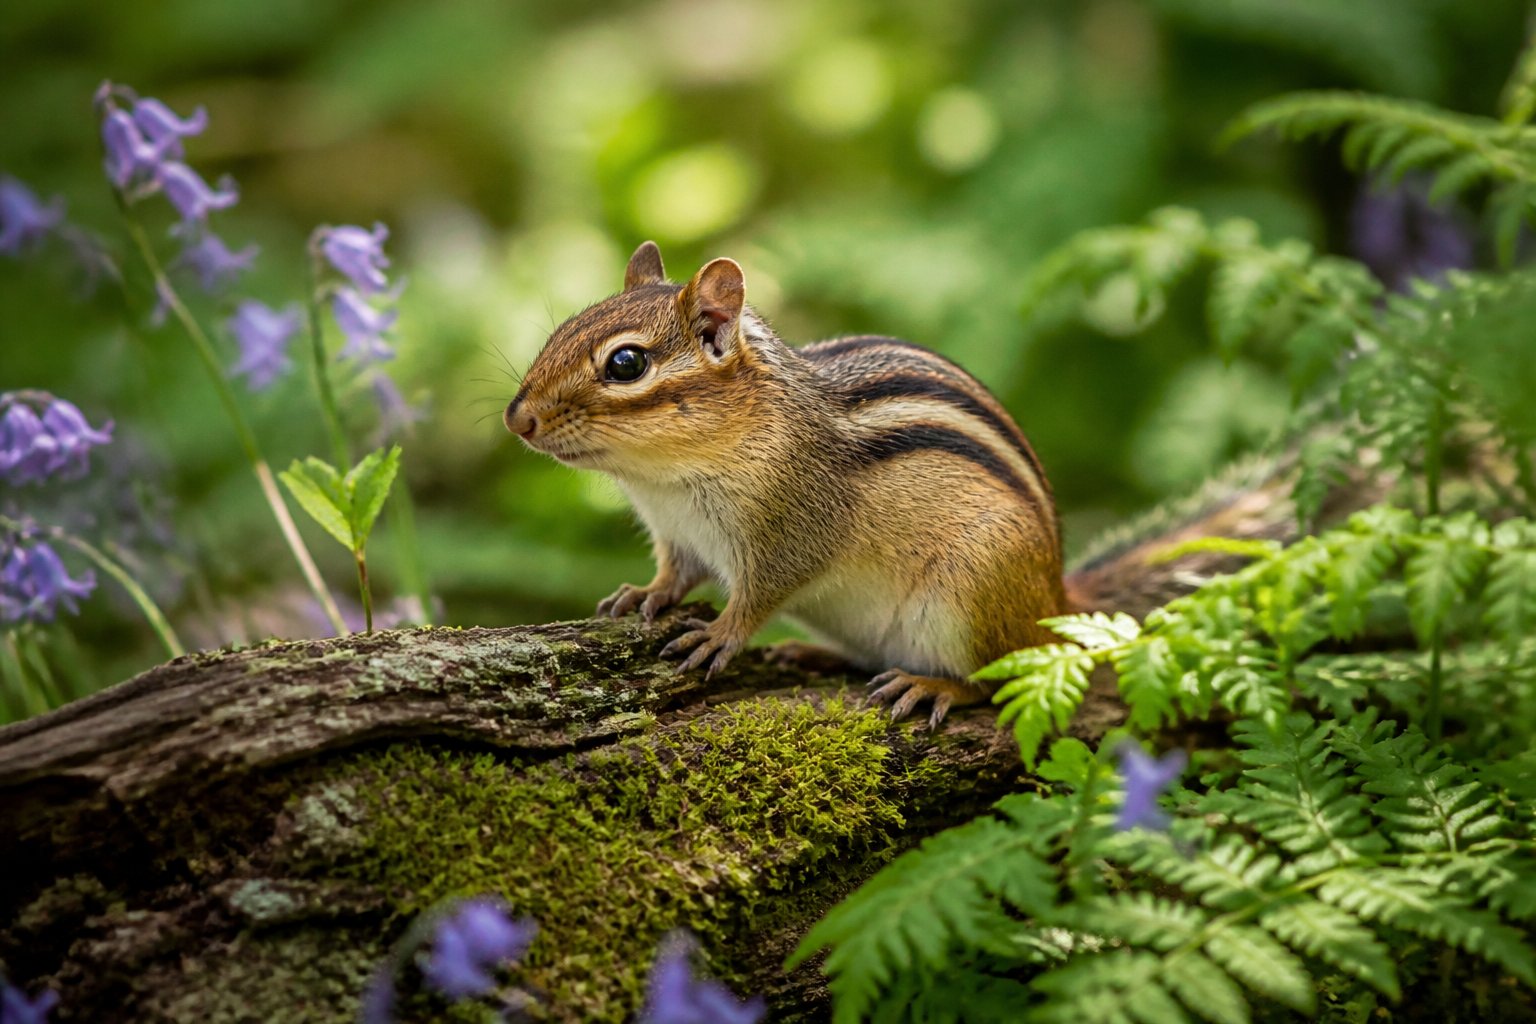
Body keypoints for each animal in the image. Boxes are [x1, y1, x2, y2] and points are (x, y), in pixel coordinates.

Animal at [505, 241, 1067, 727]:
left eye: (627, 363)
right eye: (560, 331)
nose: (517, 420)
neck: (665, 480)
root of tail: (1057, 600)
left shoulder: (797, 533)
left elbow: (760, 596)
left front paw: (719, 634)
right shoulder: (677, 534)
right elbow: (676, 573)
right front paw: (645, 592)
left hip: (975, 594)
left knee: (996, 681)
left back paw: (933, 685)